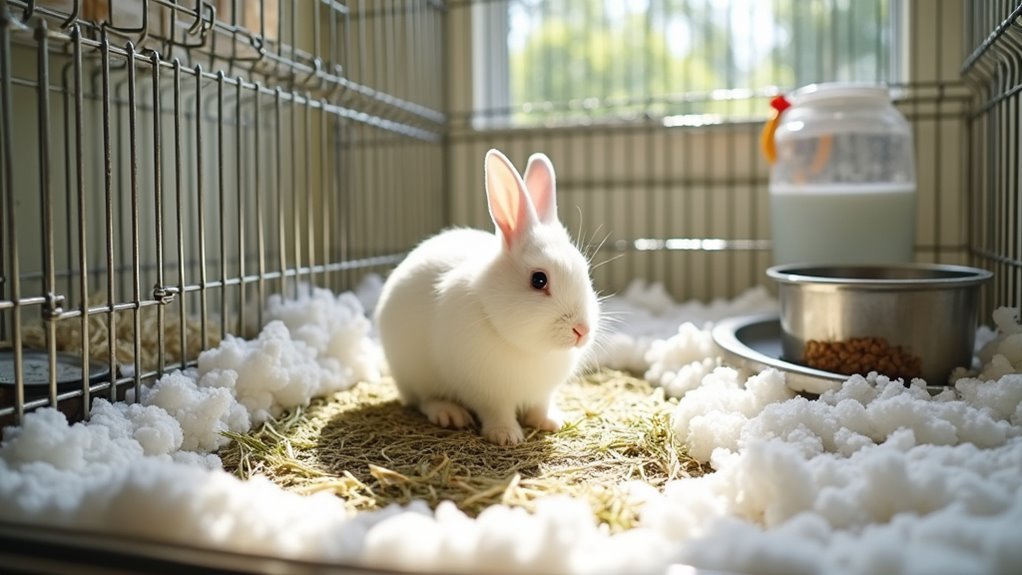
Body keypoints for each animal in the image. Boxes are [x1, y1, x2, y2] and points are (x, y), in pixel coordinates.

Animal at [373, 148, 601, 446]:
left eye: (585, 271)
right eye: (539, 280)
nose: (582, 331)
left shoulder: (542, 393)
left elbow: (540, 405)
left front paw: (550, 422)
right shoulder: (487, 394)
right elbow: (497, 412)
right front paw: (506, 436)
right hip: (414, 374)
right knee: (423, 400)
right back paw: (449, 414)